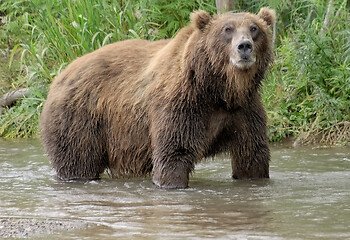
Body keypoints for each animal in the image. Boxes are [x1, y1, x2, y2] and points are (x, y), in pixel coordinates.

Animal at [41, 7, 276, 189]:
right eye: (227, 30)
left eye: (254, 28)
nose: (244, 46)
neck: (219, 90)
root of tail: (59, 76)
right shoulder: (181, 105)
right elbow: (174, 153)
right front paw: (171, 183)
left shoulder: (243, 110)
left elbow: (252, 154)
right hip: (80, 119)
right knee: (77, 161)